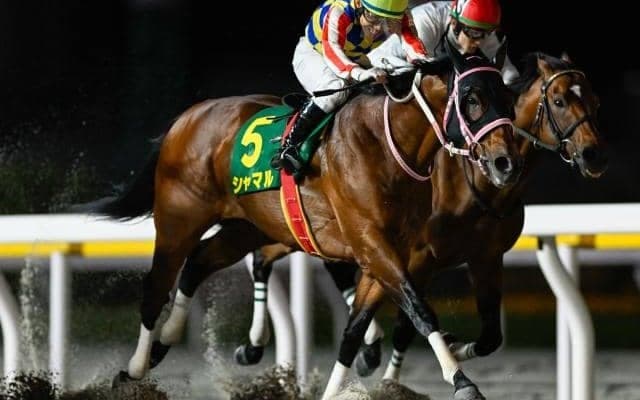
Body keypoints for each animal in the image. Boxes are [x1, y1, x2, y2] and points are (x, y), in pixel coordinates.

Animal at [80, 39, 520, 400]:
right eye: (472, 98)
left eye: (508, 96)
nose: (504, 164)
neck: (387, 145)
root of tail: (186, 117)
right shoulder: (372, 245)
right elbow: (419, 309)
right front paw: (462, 382)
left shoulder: (390, 254)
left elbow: (353, 330)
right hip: (178, 218)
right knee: (157, 284)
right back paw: (134, 369)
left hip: (245, 228)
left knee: (199, 262)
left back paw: (164, 342)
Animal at [228, 51, 608, 389]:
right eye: (559, 101)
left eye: (595, 101)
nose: (594, 155)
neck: (476, 182)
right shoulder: (418, 257)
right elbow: (407, 324)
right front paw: (400, 378)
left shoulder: (485, 257)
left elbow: (490, 337)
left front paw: (454, 347)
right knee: (270, 259)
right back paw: (258, 344)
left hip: (303, 230)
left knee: (274, 257)